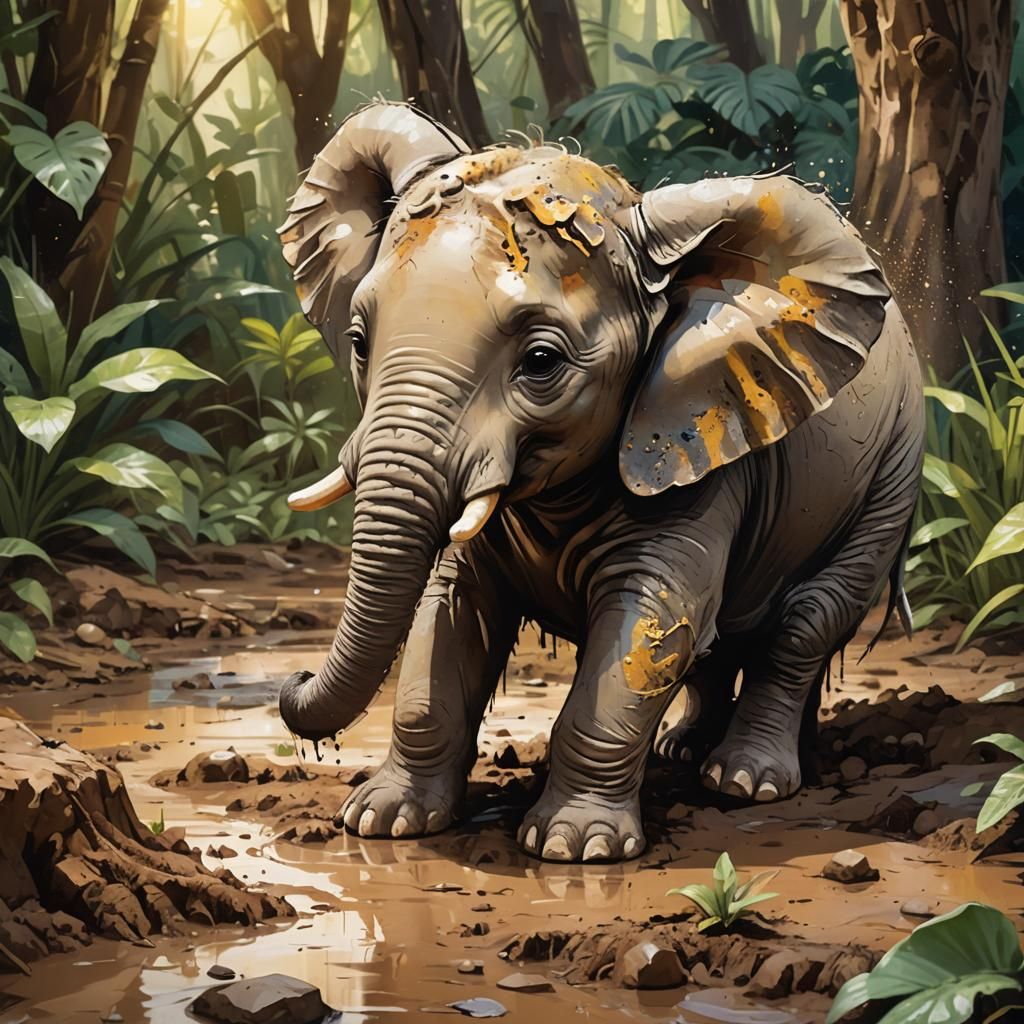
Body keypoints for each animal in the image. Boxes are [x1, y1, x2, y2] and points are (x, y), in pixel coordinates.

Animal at [274, 101, 924, 863]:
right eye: (357, 342)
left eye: (541, 362)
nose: (291, 681)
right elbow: (450, 609)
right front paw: (382, 821)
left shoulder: (697, 451)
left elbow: (651, 624)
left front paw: (570, 848)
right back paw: (686, 753)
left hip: (893, 470)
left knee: (806, 619)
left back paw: (745, 782)